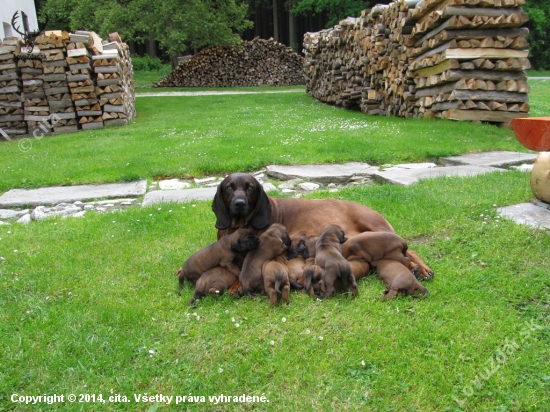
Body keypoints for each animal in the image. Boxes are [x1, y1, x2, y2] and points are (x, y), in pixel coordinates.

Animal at [212, 171, 436, 280]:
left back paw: (422, 269)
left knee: (411, 250)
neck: (238, 225)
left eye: (250, 187)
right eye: (229, 187)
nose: (239, 203)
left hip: (376, 227)